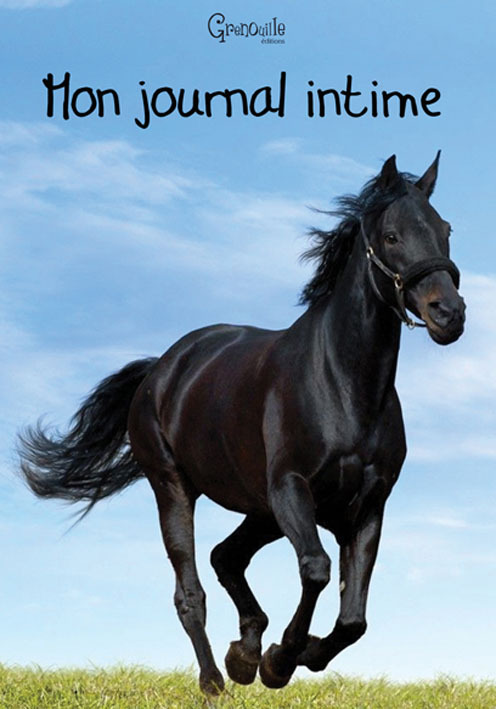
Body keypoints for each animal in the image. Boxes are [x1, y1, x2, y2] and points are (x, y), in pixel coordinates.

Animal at [18, 153, 465, 695]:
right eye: (393, 235)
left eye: (445, 230)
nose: (449, 313)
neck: (343, 385)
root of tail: (162, 369)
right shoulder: (292, 489)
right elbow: (316, 570)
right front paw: (281, 659)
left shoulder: (366, 508)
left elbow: (353, 619)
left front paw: (289, 655)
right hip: (175, 489)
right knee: (191, 590)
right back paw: (216, 679)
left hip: (260, 510)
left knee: (225, 557)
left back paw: (244, 652)